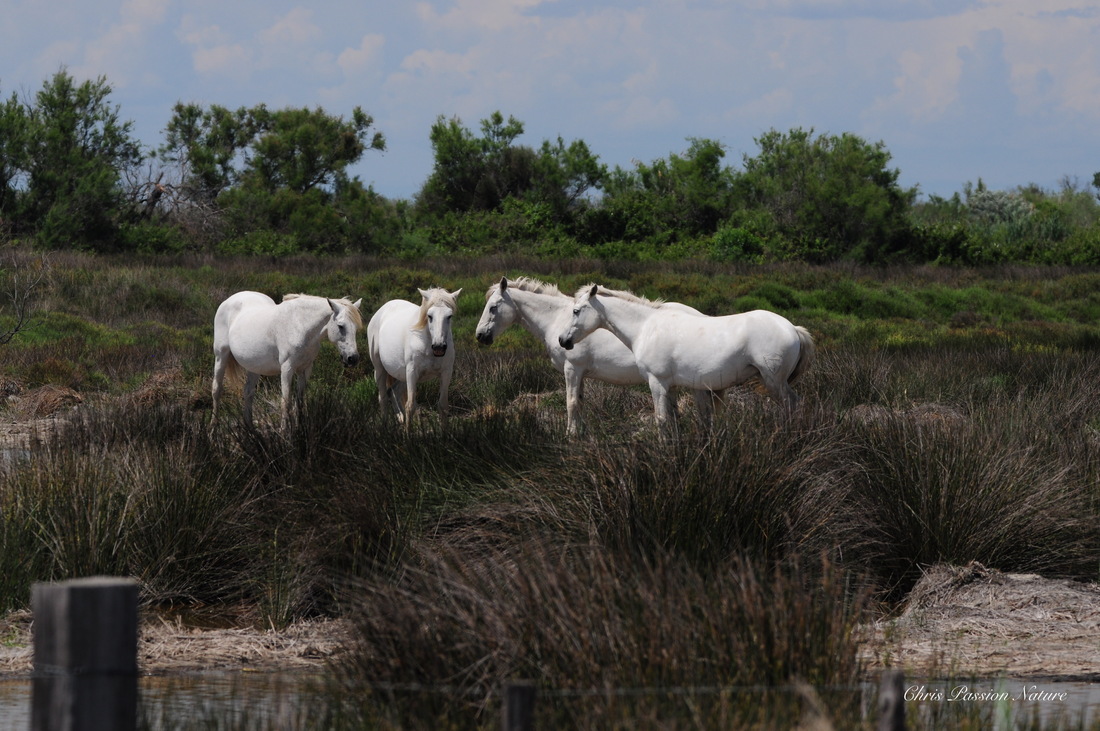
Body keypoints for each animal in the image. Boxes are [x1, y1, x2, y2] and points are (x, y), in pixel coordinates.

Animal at [213, 290, 365, 428]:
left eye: (356, 328)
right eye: (341, 326)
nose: (353, 358)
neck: (300, 325)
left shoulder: (305, 369)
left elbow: (300, 401)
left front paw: (301, 430)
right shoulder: (287, 368)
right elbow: (285, 403)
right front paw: (285, 434)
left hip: (254, 366)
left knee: (248, 393)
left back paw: (251, 431)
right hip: (221, 356)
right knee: (216, 390)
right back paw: (213, 430)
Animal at [365, 285, 459, 422]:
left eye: (449, 316)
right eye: (429, 316)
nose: (439, 347)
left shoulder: (446, 373)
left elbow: (443, 407)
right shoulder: (412, 372)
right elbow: (410, 407)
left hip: (402, 375)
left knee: (393, 391)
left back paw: (400, 418)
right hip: (380, 369)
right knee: (382, 398)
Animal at [475, 273, 721, 433]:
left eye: (493, 307)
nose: (480, 336)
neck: (557, 319)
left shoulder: (572, 369)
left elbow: (571, 403)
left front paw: (571, 436)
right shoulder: (580, 373)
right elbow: (580, 403)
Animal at [563, 283, 814, 433]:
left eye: (576, 310)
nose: (563, 340)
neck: (646, 327)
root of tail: (792, 328)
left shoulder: (657, 382)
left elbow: (661, 419)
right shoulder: (671, 385)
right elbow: (674, 418)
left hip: (775, 382)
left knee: (792, 404)